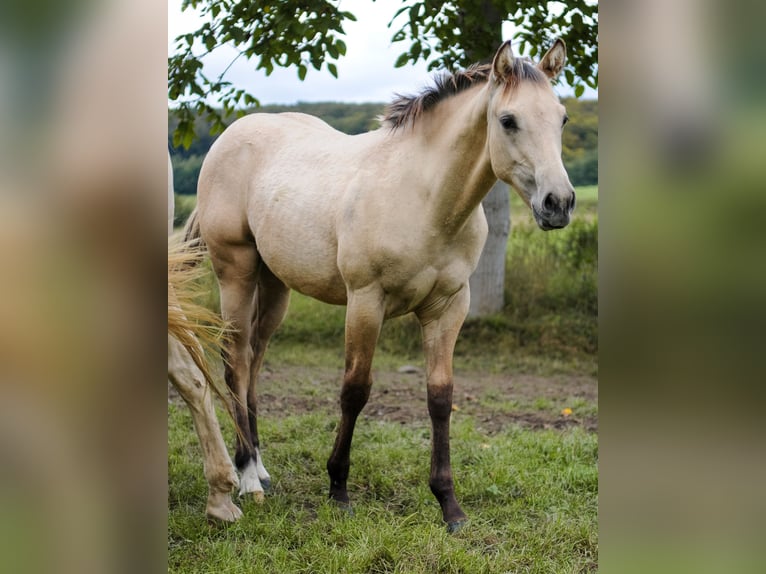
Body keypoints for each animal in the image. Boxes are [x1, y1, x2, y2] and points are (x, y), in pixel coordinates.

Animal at [184, 39, 575, 531]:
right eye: (508, 120)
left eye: (562, 118)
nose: (558, 203)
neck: (424, 198)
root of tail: (230, 136)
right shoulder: (366, 301)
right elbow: (355, 390)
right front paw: (338, 490)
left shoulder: (449, 306)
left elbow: (440, 397)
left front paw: (450, 505)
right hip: (235, 271)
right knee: (235, 362)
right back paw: (247, 478)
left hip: (275, 286)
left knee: (253, 361)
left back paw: (259, 468)